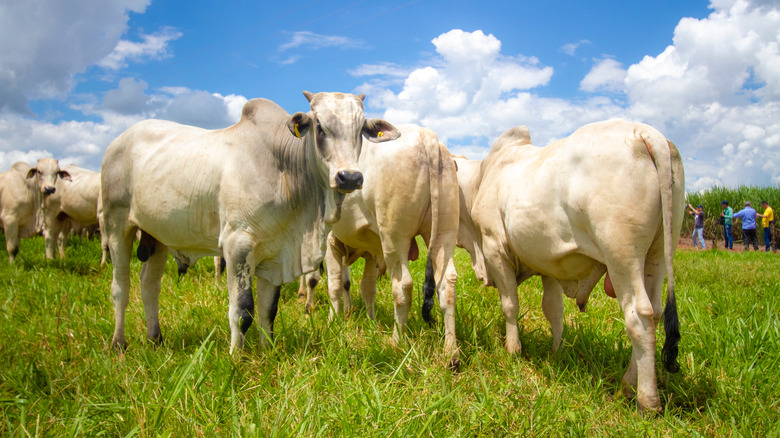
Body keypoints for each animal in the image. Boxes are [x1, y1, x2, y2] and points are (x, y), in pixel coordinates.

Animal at [100, 91, 400, 352]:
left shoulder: (276, 254)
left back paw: (155, 338)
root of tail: (118, 141)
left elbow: (269, 310)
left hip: (158, 235)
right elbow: (242, 310)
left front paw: (268, 351)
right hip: (116, 225)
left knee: (149, 285)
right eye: (319, 126)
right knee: (120, 287)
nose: (349, 177)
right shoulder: (237, 245)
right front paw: (237, 357)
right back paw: (118, 343)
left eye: (360, 129)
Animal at [296, 125, 460, 368]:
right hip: (443, 235)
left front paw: (330, 321)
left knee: (402, 286)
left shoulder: (331, 244)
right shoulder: (372, 254)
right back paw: (451, 353)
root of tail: (425, 135)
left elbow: (333, 285)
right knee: (446, 284)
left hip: (394, 238)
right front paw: (369, 321)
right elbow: (366, 288)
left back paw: (395, 342)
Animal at [454, 118, 684, 412]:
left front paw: (513, 350)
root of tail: (644, 132)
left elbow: (510, 305)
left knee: (639, 316)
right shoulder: (551, 265)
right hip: (659, 254)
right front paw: (557, 352)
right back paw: (627, 385)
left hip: (622, 255)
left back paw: (646, 400)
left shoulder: (495, 249)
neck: (481, 179)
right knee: (654, 313)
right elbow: (554, 310)